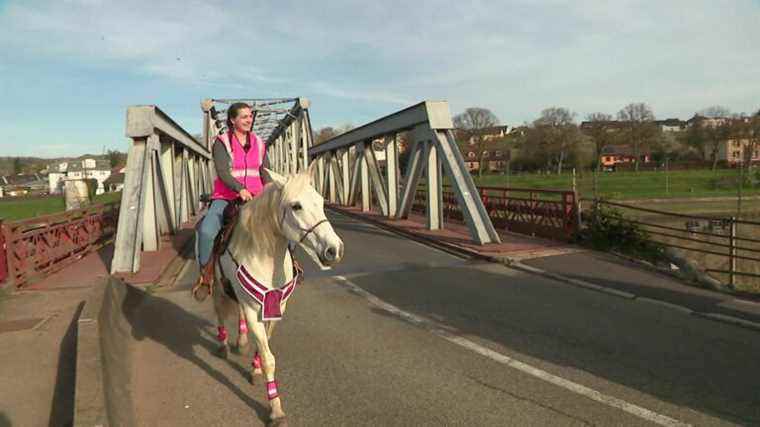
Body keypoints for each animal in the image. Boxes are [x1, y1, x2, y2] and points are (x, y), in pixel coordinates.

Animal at [209, 166, 342, 422]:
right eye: (296, 206)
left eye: (321, 201)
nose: (334, 250)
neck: (265, 256)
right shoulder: (253, 310)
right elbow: (269, 357)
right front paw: (276, 409)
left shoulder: (275, 307)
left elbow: (264, 345)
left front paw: (255, 368)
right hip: (218, 287)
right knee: (220, 310)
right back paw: (222, 344)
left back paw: (240, 341)